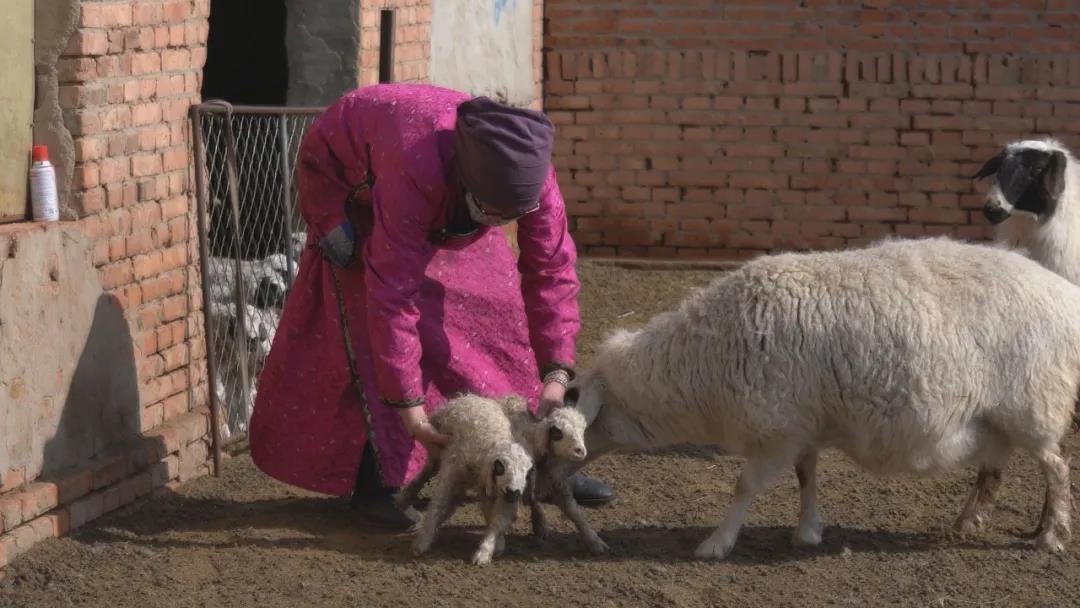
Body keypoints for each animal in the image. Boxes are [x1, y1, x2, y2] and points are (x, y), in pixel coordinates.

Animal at [401, 395, 535, 565]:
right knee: (426, 473)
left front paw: (486, 551)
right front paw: (422, 542)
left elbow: (497, 520)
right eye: (500, 466)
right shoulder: (452, 471)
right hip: (436, 451)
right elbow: (439, 505)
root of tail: (471, 397)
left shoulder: (497, 491)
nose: (514, 493)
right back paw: (404, 498)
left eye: (527, 472)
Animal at [496, 395, 609, 557]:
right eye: (558, 432)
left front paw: (595, 541)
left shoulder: (558, 485)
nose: (580, 451)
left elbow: (576, 514)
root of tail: (510, 398)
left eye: (582, 429)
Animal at [570, 235, 1080, 557]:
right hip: (995, 415)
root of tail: (1063, 293)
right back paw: (970, 524)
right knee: (994, 471)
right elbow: (806, 477)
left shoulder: (776, 430)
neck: (704, 359)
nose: (565, 471)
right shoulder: (803, 424)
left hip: (1034, 402)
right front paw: (808, 531)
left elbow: (744, 486)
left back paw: (1051, 535)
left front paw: (716, 543)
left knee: (1055, 467)